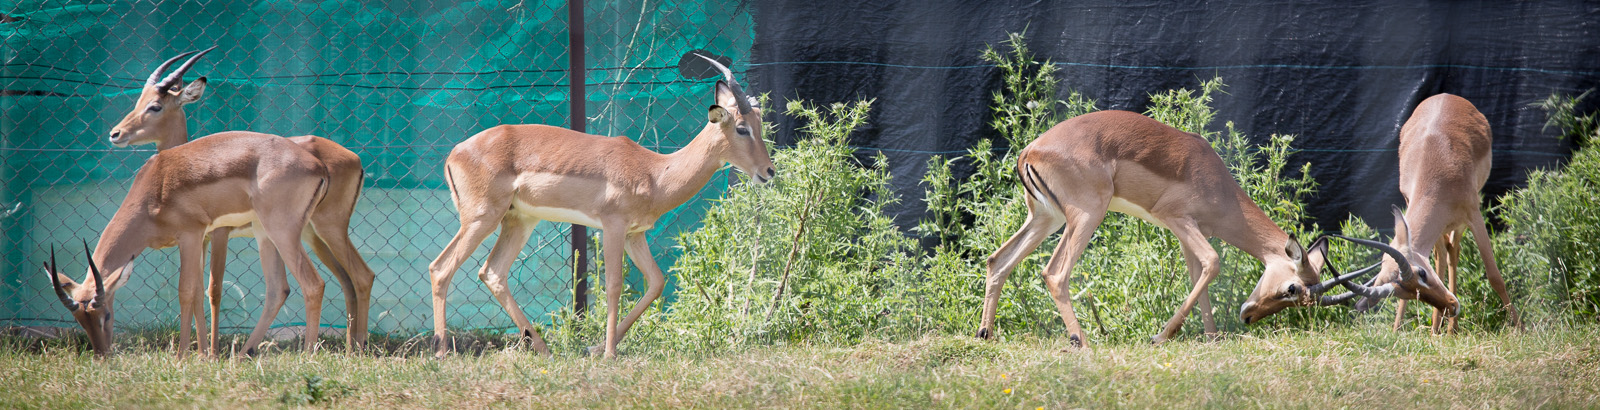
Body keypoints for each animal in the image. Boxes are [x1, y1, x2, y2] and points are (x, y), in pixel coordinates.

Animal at [428, 55, 775, 358]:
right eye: (741, 128)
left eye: (759, 123)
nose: (769, 171)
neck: (654, 173)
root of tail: (455, 153)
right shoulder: (613, 226)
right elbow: (613, 285)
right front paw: (609, 354)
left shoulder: (636, 234)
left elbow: (656, 282)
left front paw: (594, 348)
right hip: (481, 219)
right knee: (440, 268)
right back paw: (442, 353)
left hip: (519, 221)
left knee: (493, 272)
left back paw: (544, 350)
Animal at [976, 110, 1365, 347]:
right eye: (1292, 289)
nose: (1249, 315)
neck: (1217, 183)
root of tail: (1030, 151)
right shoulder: (1178, 219)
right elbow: (1213, 262)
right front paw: (1161, 336)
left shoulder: (1186, 233)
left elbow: (1199, 274)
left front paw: (1211, 338)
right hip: (1086, 216)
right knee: (1055, 273)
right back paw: (1081, 341)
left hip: (1046, 218)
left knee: (999, 260)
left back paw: (985, 333)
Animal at [1339, 93, 1520, 333]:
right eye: (1405, 293)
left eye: (1422, 273)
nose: (1451, 306)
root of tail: (1445, 95)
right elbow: (1439, 261)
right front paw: (1414, 328)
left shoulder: (1474, 214)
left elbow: (1494, 276)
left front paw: (1520, 329)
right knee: (1446, 253)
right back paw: (1444, 328)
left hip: (1464, 215)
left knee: (1454, 251)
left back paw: (1451, 328)